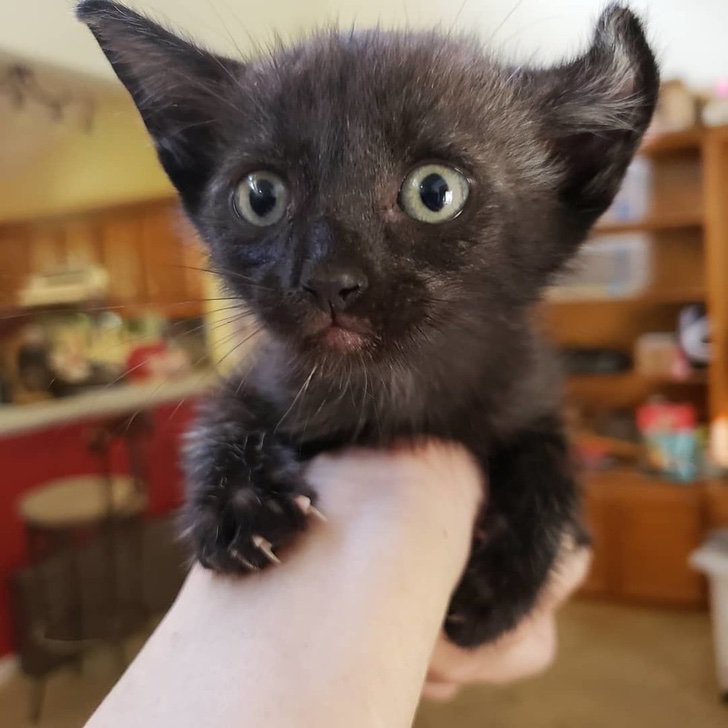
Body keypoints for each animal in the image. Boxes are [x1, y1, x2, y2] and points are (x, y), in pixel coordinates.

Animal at [79, 1, 660, 648]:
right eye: (261, 196)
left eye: (435, 190)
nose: (329, 278)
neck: (390, 391)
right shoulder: (264, 374)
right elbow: (217, 418)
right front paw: (241, 507)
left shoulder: (528, 390)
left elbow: (552, 458)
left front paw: (501, 584)